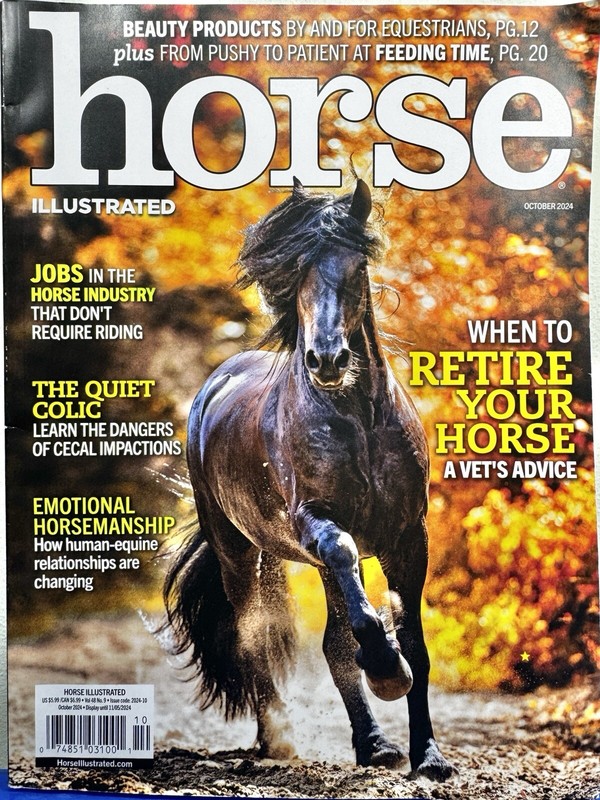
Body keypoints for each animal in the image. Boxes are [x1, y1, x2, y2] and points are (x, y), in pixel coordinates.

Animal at [164, 179, 454, 780]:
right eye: (297, 270)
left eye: (355, 266)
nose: (327, 360)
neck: (359, 420)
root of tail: (215, 385)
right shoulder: (317, 524)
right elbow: (348, 589)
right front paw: (385, 670)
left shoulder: (408, 537)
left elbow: (414, 644)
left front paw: (429, 755)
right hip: (237, 552)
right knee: (253, 634)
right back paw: (278, 739)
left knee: (333, 644)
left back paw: (375, 744)